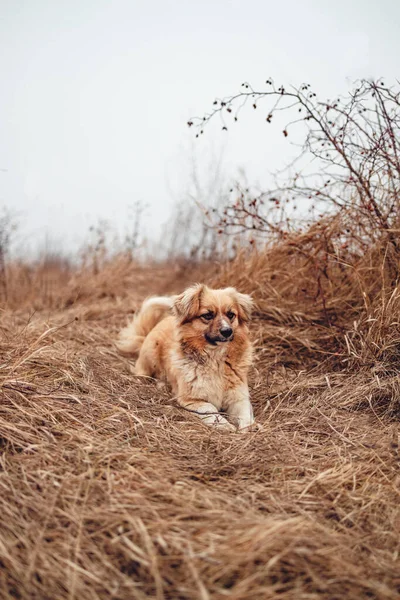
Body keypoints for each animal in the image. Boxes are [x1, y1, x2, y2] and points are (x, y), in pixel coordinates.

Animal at [116, 284, 256, 432]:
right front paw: (224, 424)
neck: (215, 359)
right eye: (207, 315)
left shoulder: (239, 397)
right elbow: (210, 408)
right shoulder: (191, 400)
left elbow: (245, 413)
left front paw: (249, 428)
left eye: (231, 315)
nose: (227, 331)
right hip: (150, 354)